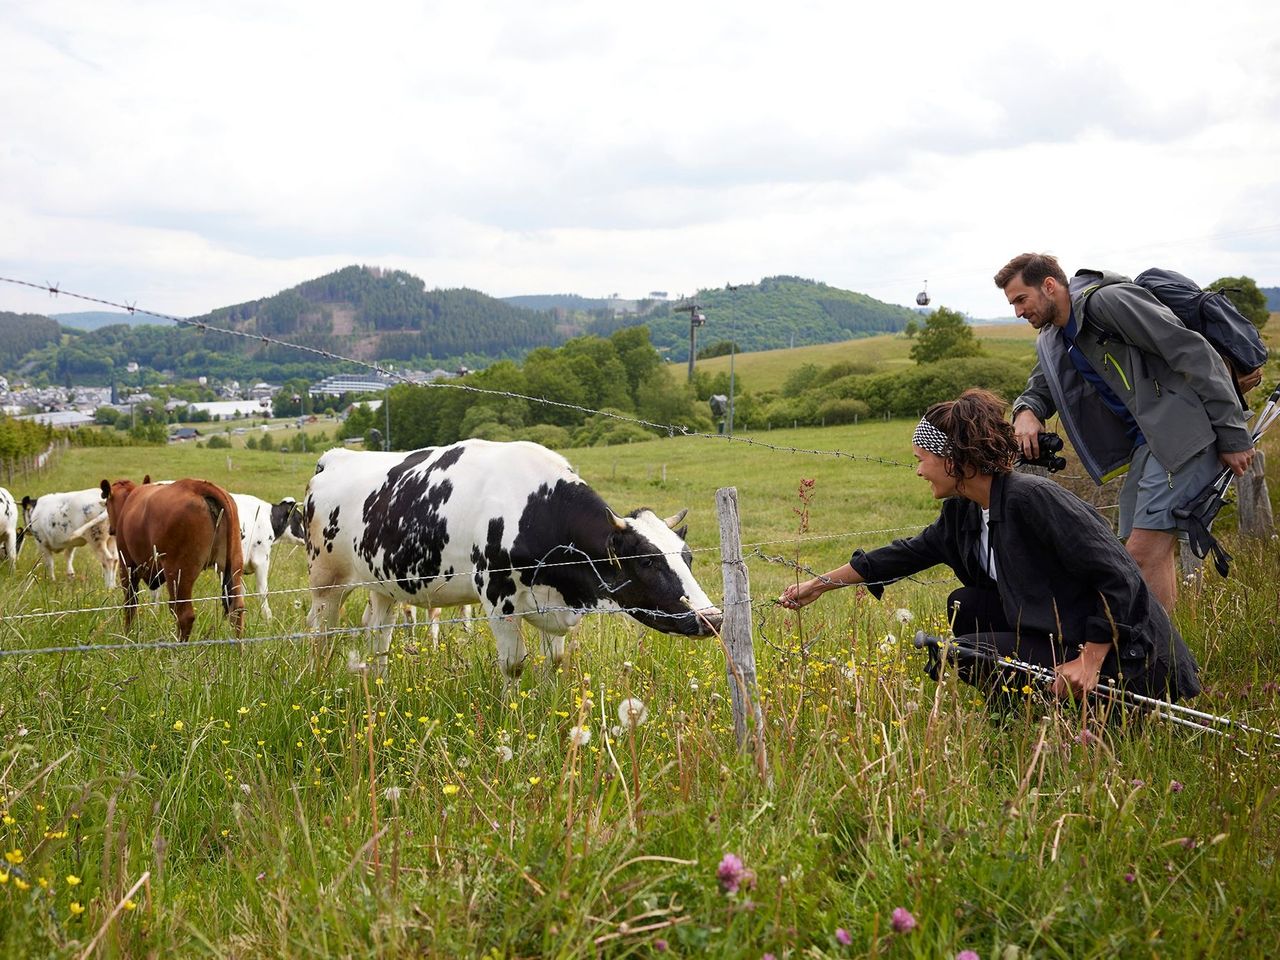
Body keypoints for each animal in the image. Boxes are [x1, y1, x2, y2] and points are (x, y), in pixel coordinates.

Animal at [99, 478, 244, 642]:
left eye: (106, 503)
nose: (110, 529)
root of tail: (197, 485)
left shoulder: (127, 565)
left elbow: (130, 604)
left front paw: (127, 636)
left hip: (179, 572)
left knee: (184, 615)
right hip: (233, 564)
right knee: (236, 609)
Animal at [300, 442, 721, 675]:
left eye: (688, 557)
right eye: (648, 561)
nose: (713, 619)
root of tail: (336, 458)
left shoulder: (554, 604)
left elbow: (555, 661)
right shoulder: (497, 598)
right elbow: (514, 665)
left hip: (383, 583)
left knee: (378, 634)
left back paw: (381, 686)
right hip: (327, 580)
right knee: (321, 632)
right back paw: (321, 681)